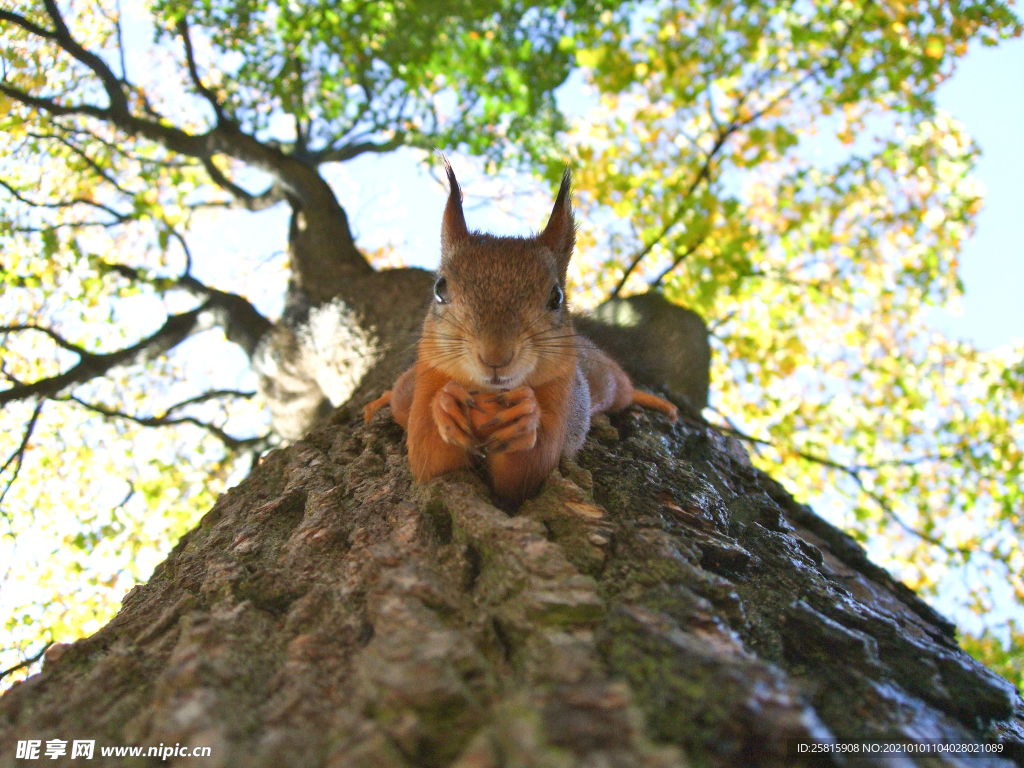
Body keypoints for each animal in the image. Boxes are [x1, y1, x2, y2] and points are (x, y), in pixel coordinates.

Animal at [364, 163, 675, 505]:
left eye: (556, 297)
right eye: (439, 289)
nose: (495, 356)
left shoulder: (560, 394)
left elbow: (527, 472)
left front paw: (525, 418)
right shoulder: (428, 379)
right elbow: (429, 459)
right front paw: (445, 405)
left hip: (606, 381)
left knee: (625, 390)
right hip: (408, 389)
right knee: (398, 395)